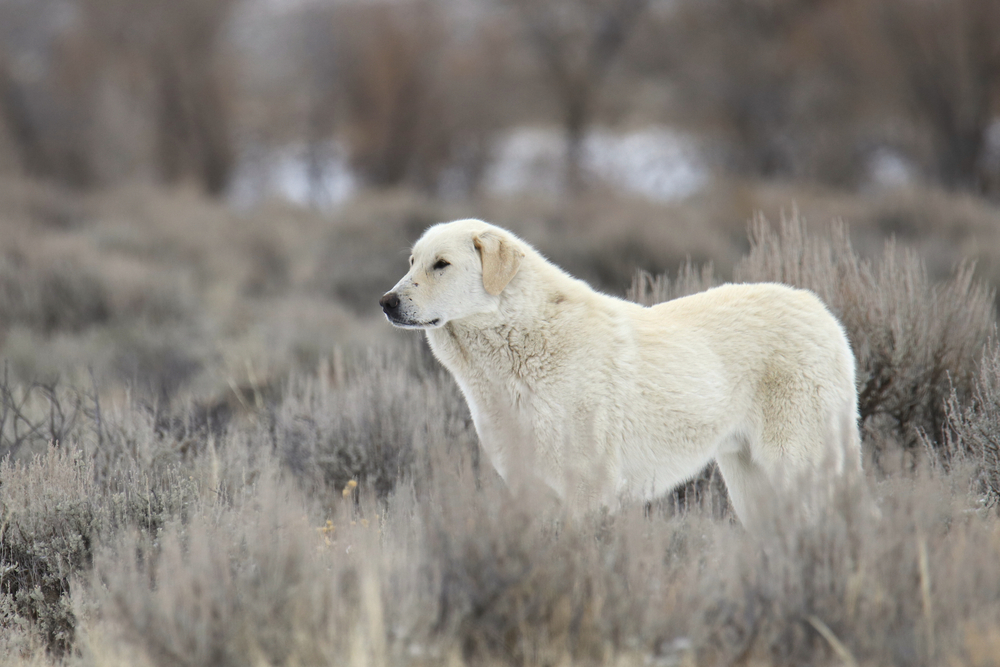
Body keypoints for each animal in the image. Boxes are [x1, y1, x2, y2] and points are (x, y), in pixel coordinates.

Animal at [380, 219, 860, 528]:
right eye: (412, 261)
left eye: (441, 264)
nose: (386, 302)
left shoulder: (589, 487)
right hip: (747, 478)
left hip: (794, 463)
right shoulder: (527, 484)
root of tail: (824, 314)